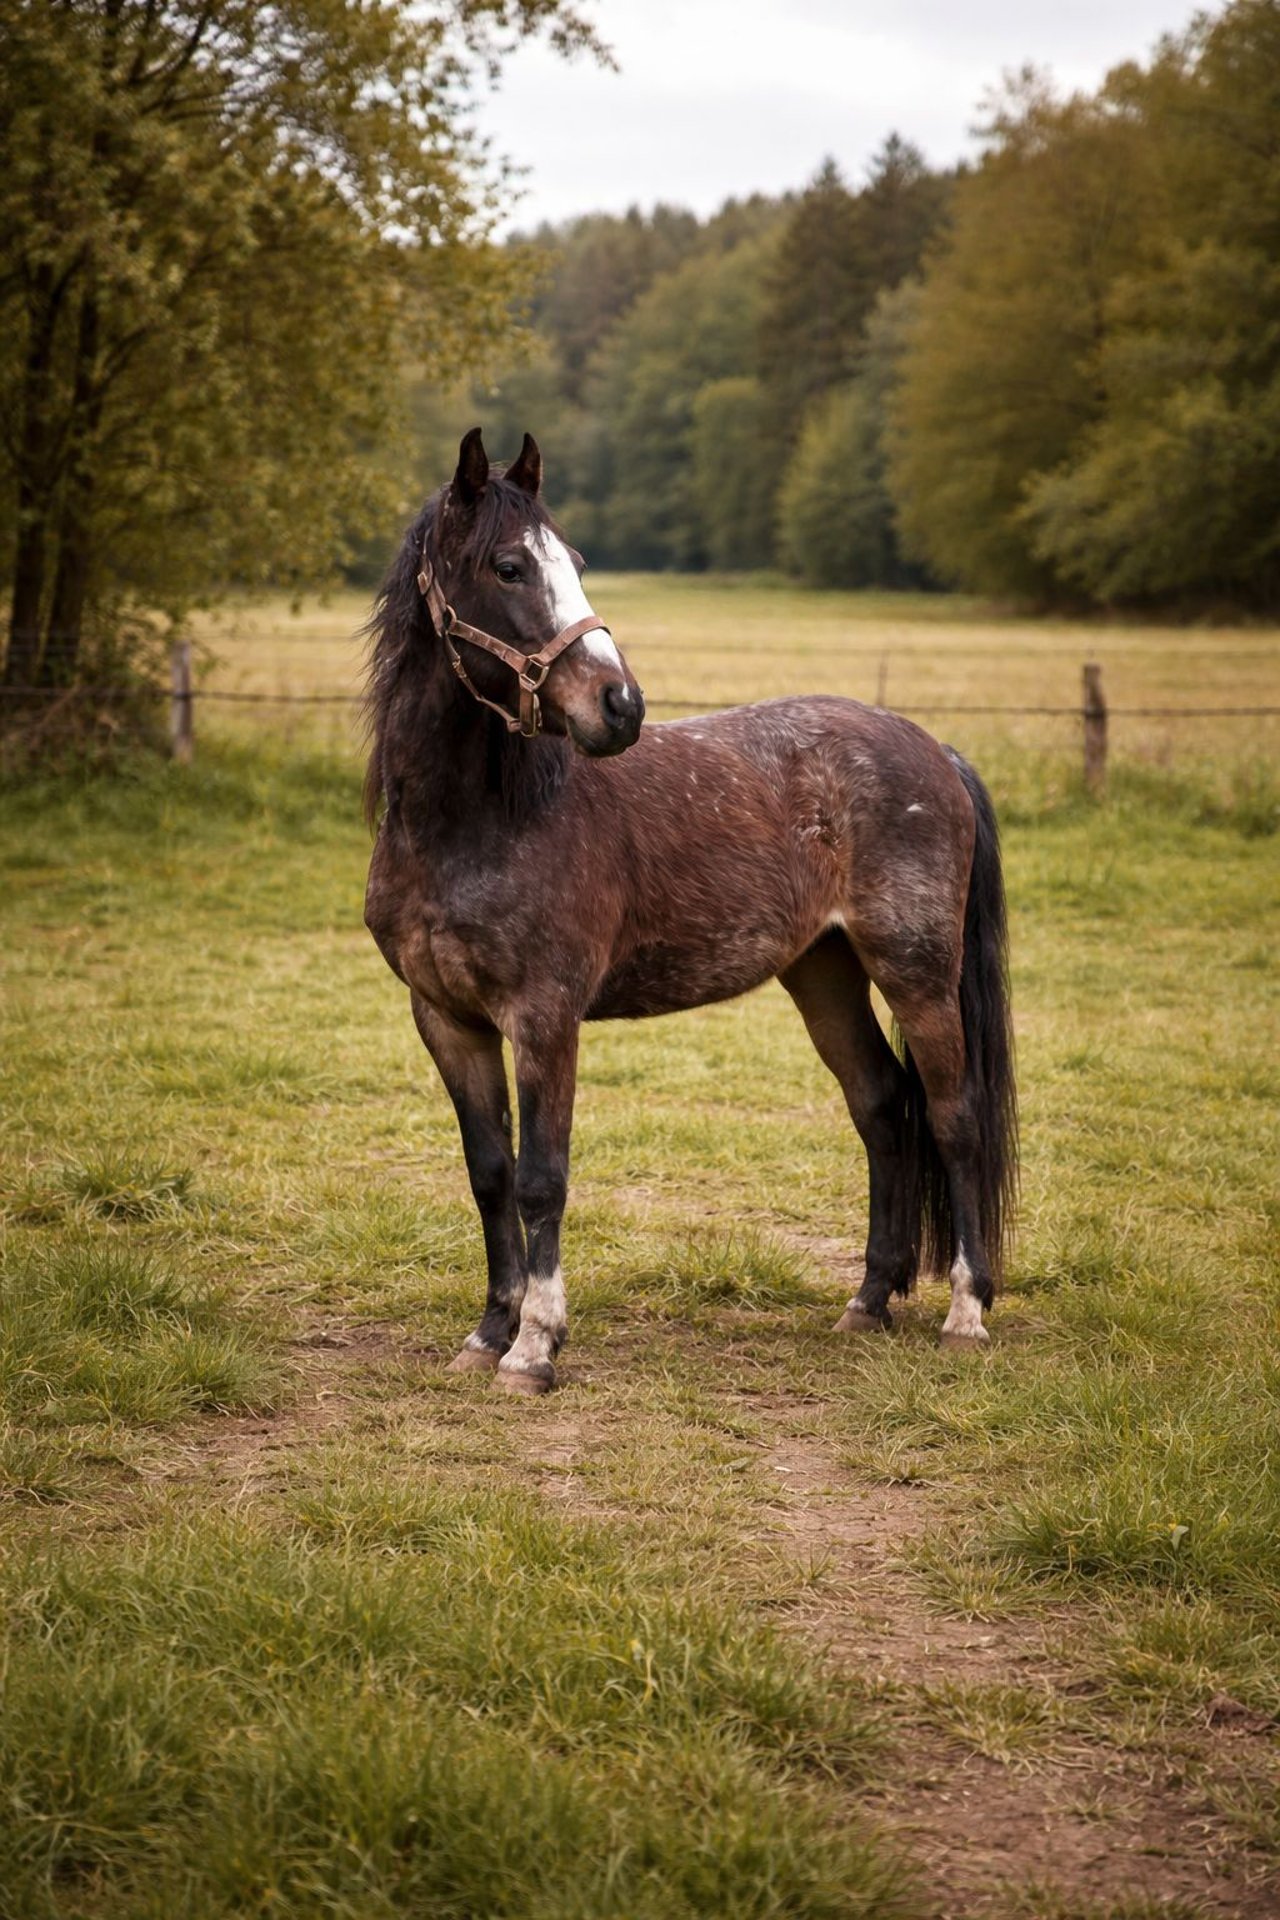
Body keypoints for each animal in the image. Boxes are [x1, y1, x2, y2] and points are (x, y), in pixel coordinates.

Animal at [363, 428, 1017, 1395]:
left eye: (576, 563)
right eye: (509, 566)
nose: (621, 706)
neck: (478, 820)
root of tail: (931, 745)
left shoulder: (544, 1016)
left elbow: (540, 1178)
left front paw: (536, 1346)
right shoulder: (445, 1017)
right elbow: (488, 1174)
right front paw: (487, 1332)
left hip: (917, 972)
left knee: (953, 1116)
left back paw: (965, 1314)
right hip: (823, 972)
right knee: (881, 1107)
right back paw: (868, 1301)